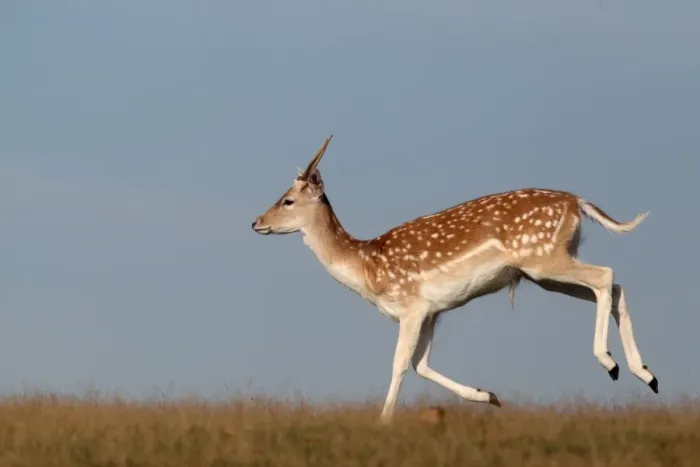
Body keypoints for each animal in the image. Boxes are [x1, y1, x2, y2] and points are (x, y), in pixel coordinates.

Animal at [251, 135, 658, 424]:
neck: (367, 268)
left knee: (605, 275)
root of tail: (578, 202)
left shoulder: (412, 306)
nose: (256, 222)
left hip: (544, 259)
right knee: (612, 286)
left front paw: (383, 421)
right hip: (543, 269)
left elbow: (400, 363)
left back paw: (610, 363)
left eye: (287, 200)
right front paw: (489, 396)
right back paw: (646, 374)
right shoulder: (434, 311)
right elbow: (422, 364)